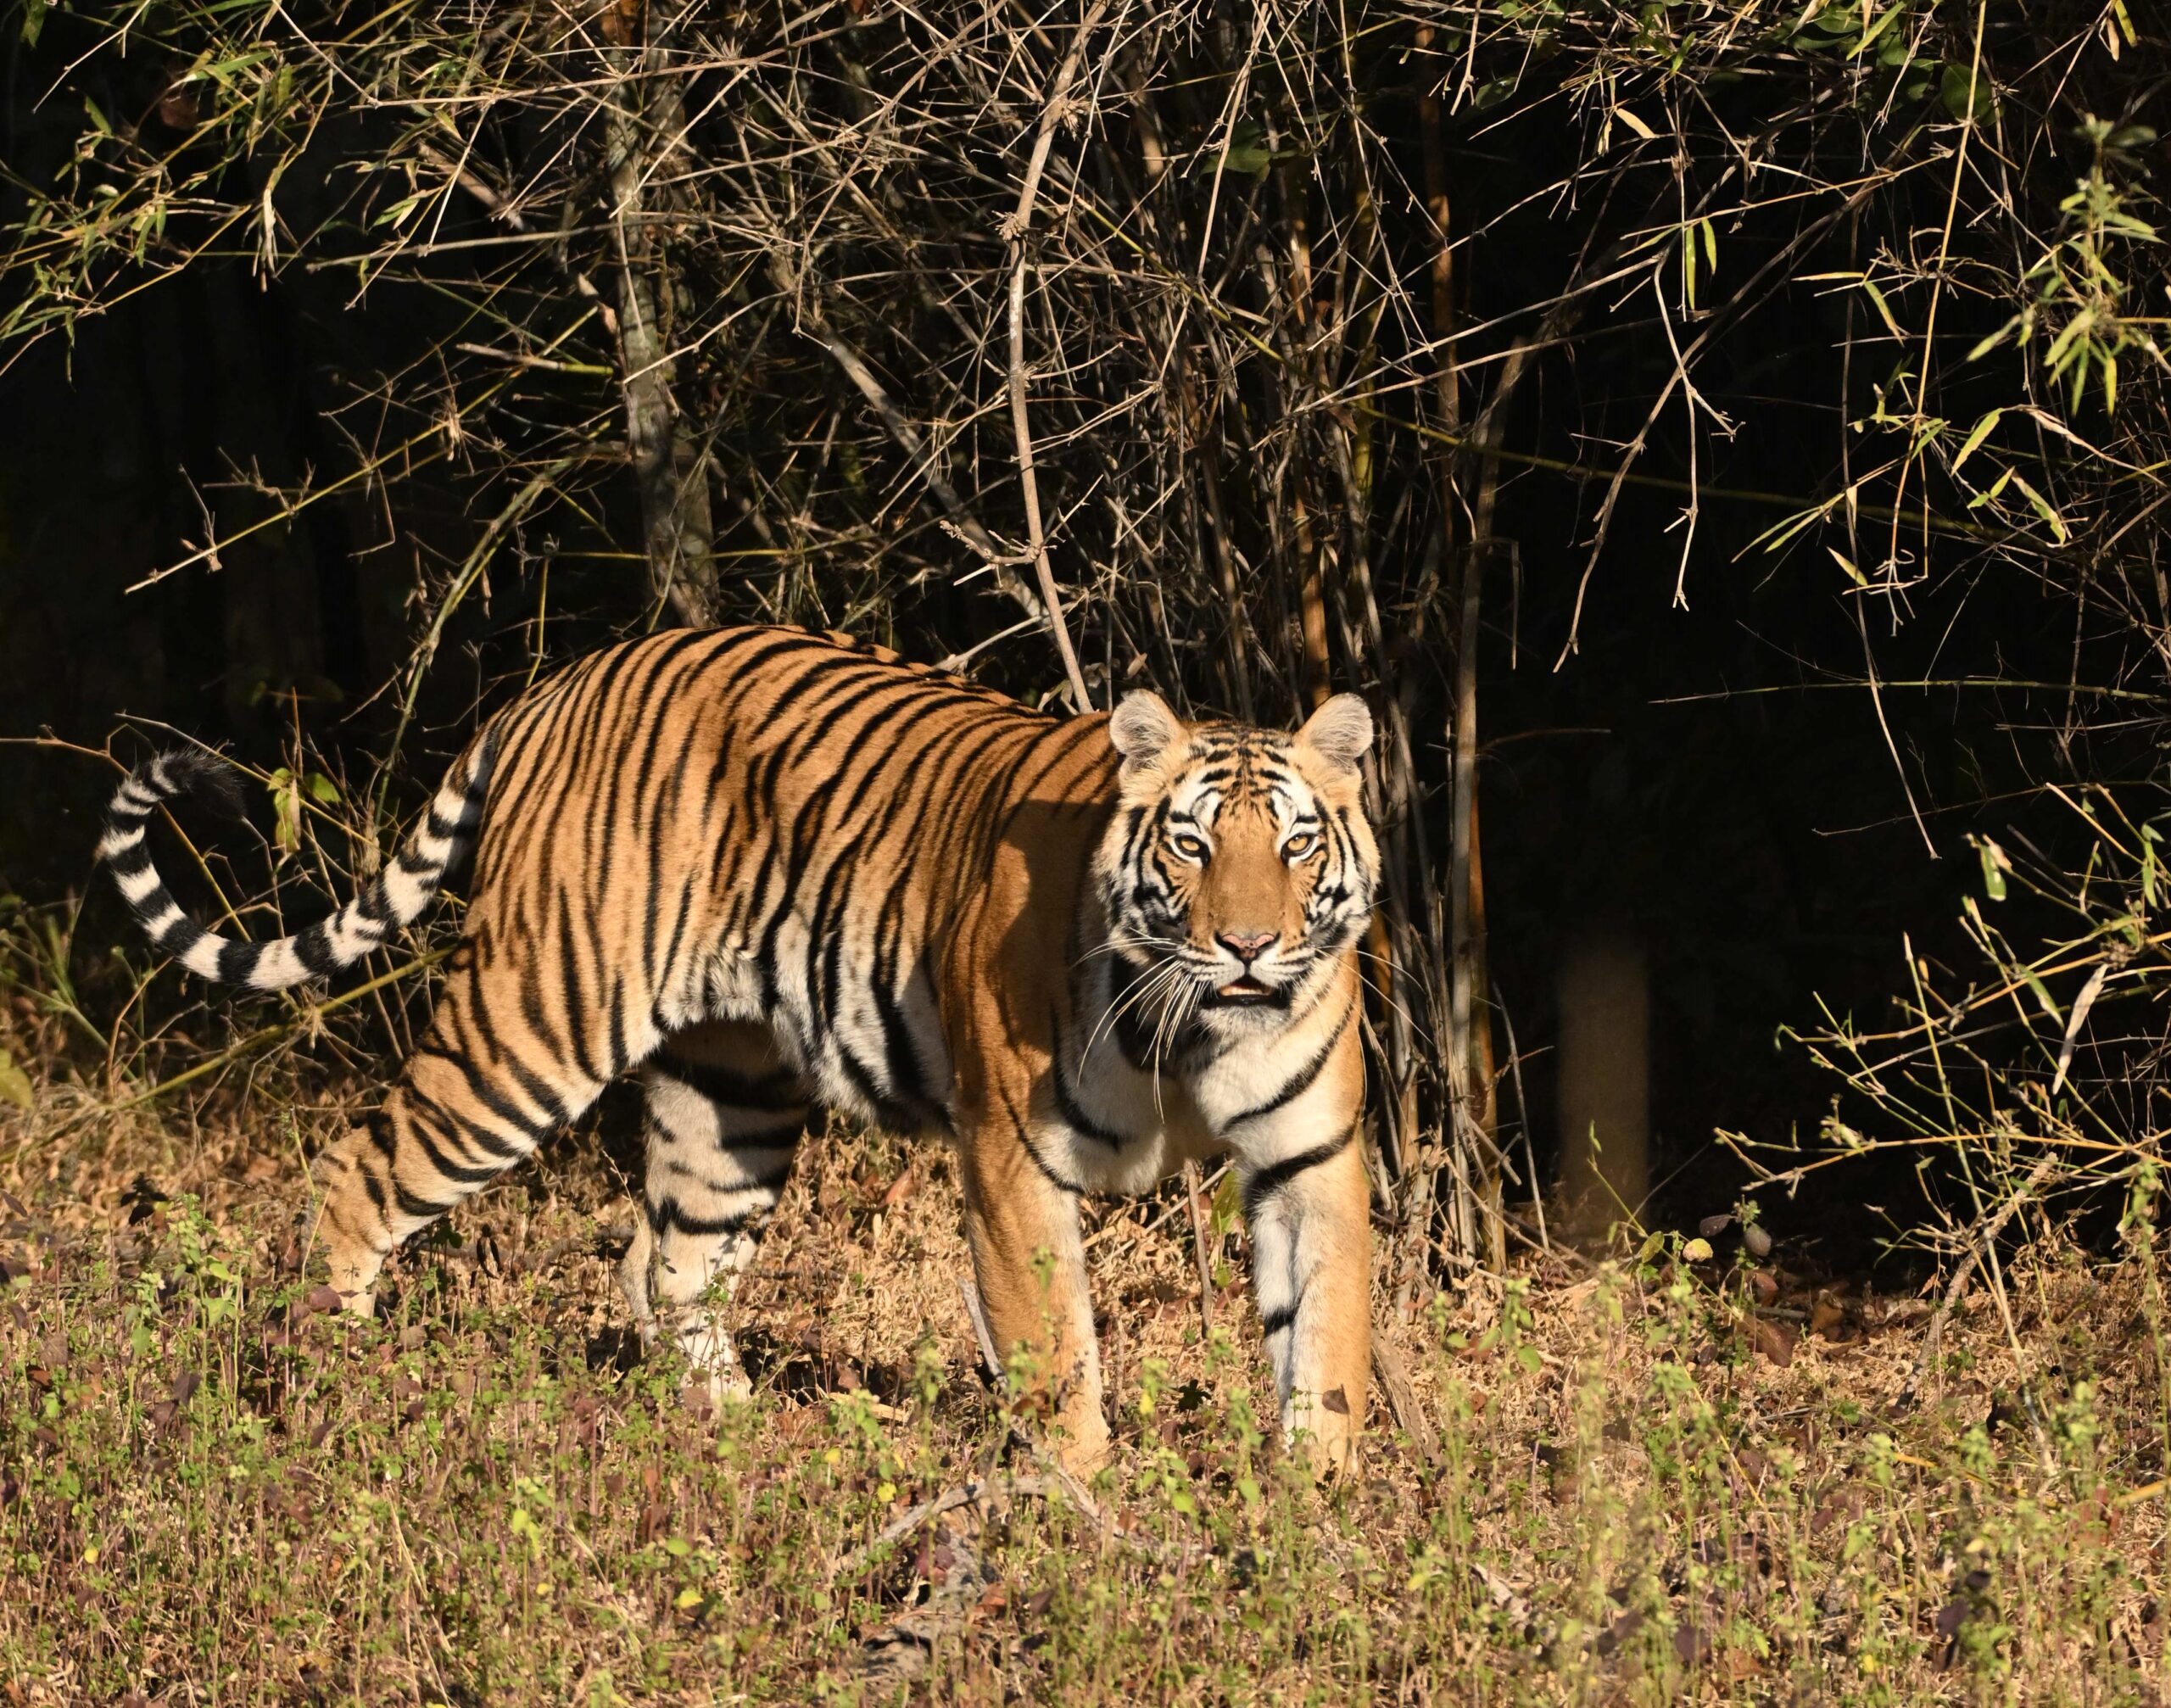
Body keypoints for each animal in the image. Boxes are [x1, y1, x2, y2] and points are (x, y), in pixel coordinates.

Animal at [99, 626, 1380, 1473]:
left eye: (1298, 845)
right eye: (1192, 846)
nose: (1250, 944)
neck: (1197, 1026)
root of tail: (560, 683)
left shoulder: (1310, 1159)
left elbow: (1324, 1344)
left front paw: (1310, 1527)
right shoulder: (1013, 1156)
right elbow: (1055, 1351)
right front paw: (1086, 1523)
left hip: (735, 1087)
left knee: (664, 1266)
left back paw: (743, 1442)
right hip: (531, 1023)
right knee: (356, 1170)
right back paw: (340, 1387)